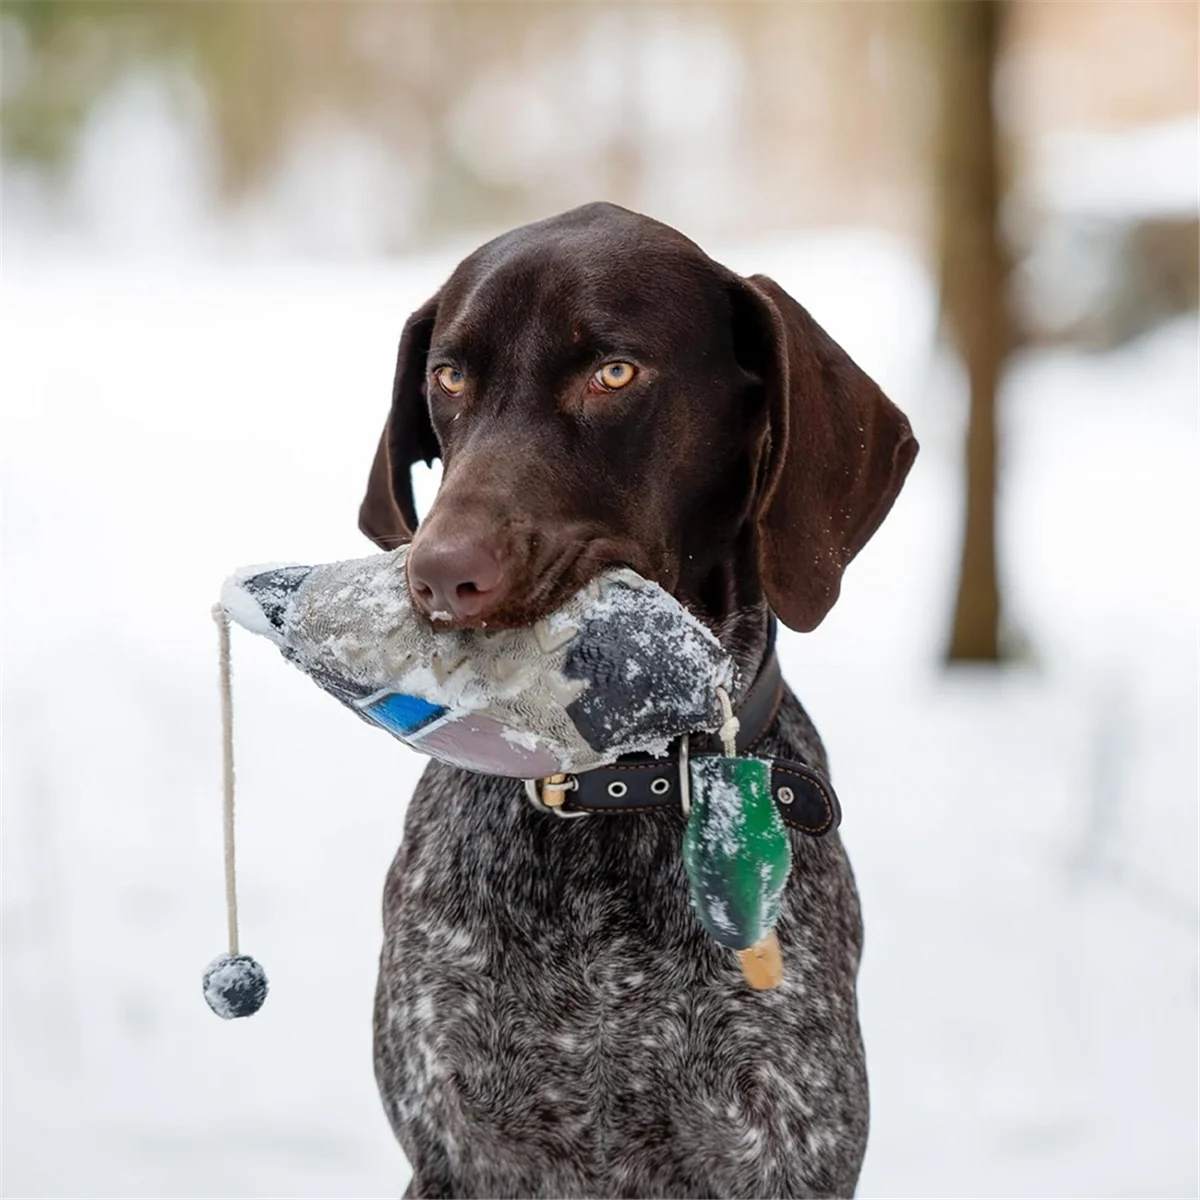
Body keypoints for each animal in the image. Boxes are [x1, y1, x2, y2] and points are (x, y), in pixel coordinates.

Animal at [357, 201, 916, 1195]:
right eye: (449, 377)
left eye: (614, 373)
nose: (439, 574)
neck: (612, 797)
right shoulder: (456, 1149)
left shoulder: (786, 1148)